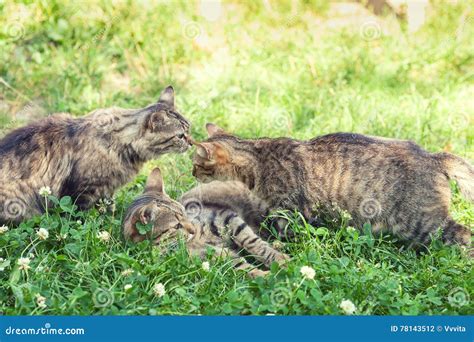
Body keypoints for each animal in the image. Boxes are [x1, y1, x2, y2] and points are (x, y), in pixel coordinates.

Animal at [0, 87, 191, 223]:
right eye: (180, 136)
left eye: (188, 129)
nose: (191, 142)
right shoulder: (82, 192)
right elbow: (78, 219)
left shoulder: (106, 190)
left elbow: (108, 209)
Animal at [122, 168, 288, 278]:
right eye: (176, 226)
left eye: (184, 213)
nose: (192, 230)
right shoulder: (215, 256)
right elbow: (241, 266)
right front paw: (265, 275)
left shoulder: (226, 217)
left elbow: (253, 243)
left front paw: (279, 259)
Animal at [191, 124, 472, 250]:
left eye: (196, 164)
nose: (191, 173)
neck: (258, 160)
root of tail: (434, 156)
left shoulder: (291, 213)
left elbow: (283, 235)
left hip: (422, 224)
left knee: (463, 234)